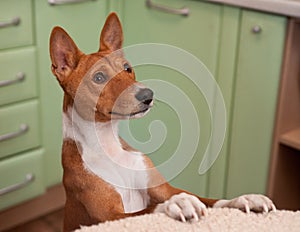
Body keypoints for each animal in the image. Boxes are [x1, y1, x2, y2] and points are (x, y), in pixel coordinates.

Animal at [49, 12, 276, 232]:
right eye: (98, 78)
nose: (147, 95)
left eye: (127, 68)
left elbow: (211, 200)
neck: (109, 148)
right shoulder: (108, 216)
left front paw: (244, 199)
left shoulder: (164, 189)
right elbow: (150, 209)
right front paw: (178, 204)